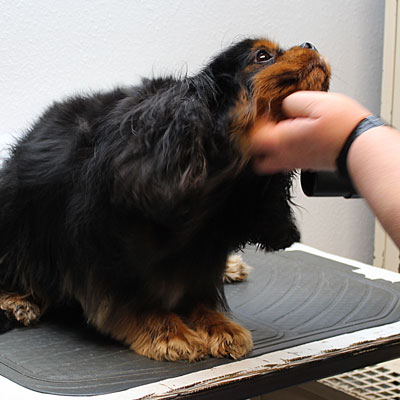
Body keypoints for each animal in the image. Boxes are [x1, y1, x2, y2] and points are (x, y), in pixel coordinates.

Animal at [0, 39, 330, 360]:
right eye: (262, 56)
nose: (310, 45)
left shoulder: (206, 244)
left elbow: (198, 296)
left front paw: (218, 325)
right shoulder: (104, 249)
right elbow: (132, 298)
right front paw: (169, 332)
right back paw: (17, 300)